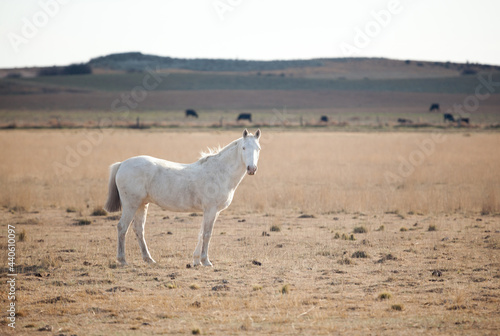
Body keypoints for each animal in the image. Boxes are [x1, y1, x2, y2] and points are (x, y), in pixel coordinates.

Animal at [104, 130, 264, 266]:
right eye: (243, 148)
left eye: (258, 148)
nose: (252, 169)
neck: (220, 171)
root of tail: (122, 164)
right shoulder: (211, 210)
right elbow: (207, 234)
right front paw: (206, 261)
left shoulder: (210, 211)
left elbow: (201, 233)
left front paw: (196, 260)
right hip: (131, 205)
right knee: (122, 227)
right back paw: (122, 260)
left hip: (141, 205)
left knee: (138, 229)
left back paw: (148, 259)